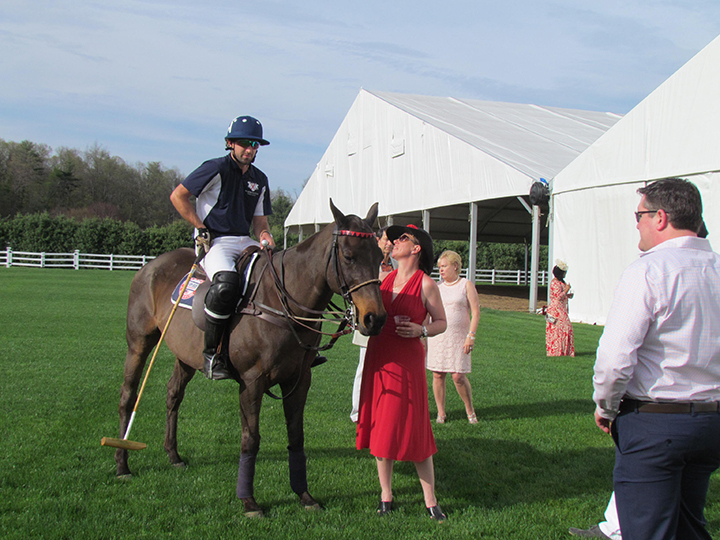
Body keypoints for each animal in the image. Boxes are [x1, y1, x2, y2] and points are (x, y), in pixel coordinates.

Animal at [112, 201, 386, 516]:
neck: (284, 302)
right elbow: (250, 438)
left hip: (185, 353)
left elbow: (296, 434)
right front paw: (249, 501)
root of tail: (149, 265)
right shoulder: (252, 381)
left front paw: (304, 495)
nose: (375, 319)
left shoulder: (299, 380)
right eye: (349, 256)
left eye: (380, 256)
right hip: (139, 341)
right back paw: (122, 464)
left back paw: (173, 454)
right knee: (128, 395)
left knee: (173, 394)